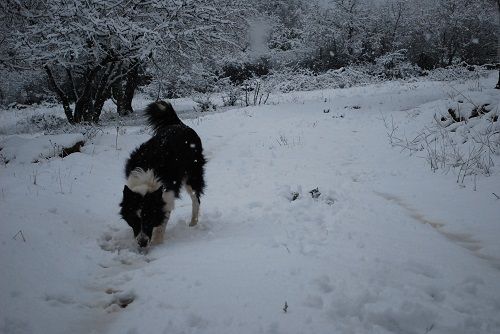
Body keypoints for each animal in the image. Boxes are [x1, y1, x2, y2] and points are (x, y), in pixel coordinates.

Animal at [119, 101, 205, 248]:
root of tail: (180, 124)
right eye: (134, 221)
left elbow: (160, 225)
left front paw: (157, 244)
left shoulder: (167, 195)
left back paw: (193, 223)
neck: (146, 177)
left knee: (196, 199)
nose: (142, 244)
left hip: (192, 174)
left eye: (149, 219)